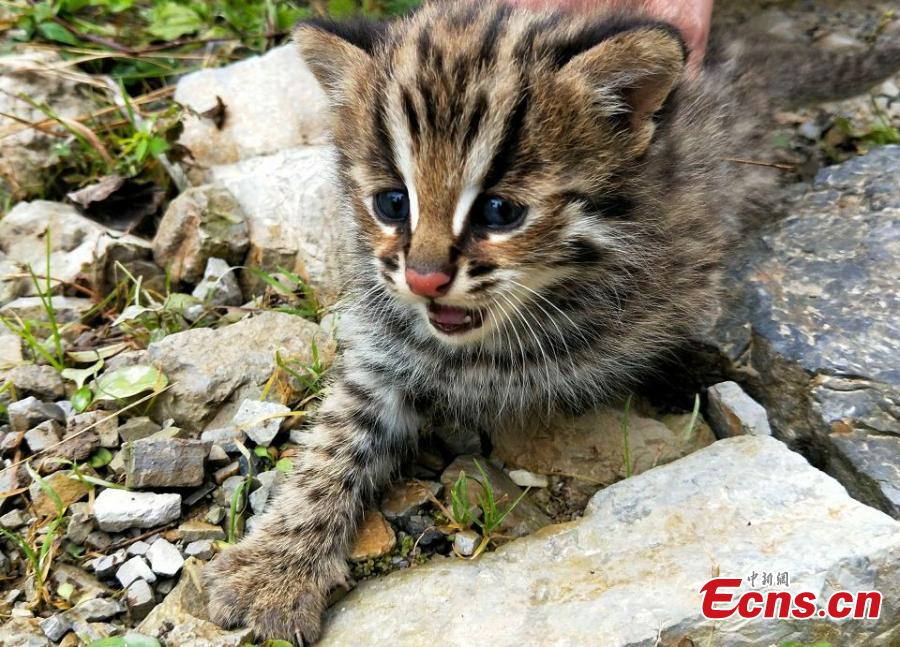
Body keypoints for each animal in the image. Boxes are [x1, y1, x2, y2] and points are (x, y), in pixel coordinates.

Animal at [206, 3, 900, 644]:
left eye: (499, 211)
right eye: (392, 202)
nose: (424, 278)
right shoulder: (384, 348)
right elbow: (335, 441)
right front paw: (276, 567)